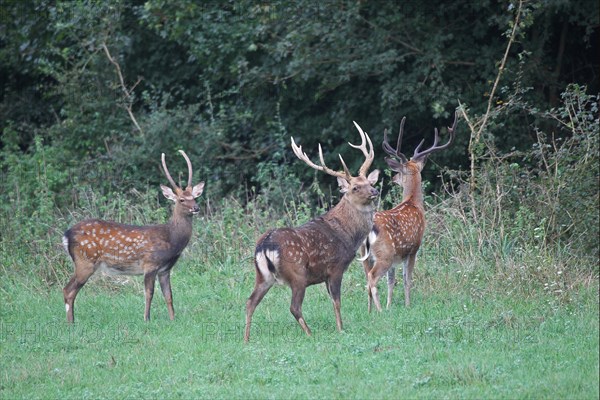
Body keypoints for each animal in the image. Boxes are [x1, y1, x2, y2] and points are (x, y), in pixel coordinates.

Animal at [62, 150, 205, 322]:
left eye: (194, 197)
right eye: (182, 199)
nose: (196, 208)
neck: (171, 239)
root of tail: (66, 235)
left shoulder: (165, 269)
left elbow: (169, 295)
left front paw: (173, 319)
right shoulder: (150, 264)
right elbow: (149, 294)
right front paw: (146, 319)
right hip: (85, 261)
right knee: (68, 290)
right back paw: (71, 323)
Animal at [244, 122, 380, 340]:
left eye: (369, 182)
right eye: (355, 188)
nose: (374, 191)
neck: (348, 236)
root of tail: (264, 246)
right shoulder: (335, 268)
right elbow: (337, 302)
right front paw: (341, 329)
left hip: (262, 275)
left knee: (250, 302)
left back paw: (246, 340)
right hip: (297, 274)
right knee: (294, 307)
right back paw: (310, 334)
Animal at [360, 112, 460, 312]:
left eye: (400, 172)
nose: (393, 177)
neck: (414, 204)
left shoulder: (397, 256)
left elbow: (391, 281)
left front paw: (390, 305)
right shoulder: (413, 248)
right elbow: (407, 279)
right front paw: (407, 305)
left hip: (367, 256)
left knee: (367, 279)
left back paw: (369, 311)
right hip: (384, 254)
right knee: (372, 278)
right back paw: (379, 311)